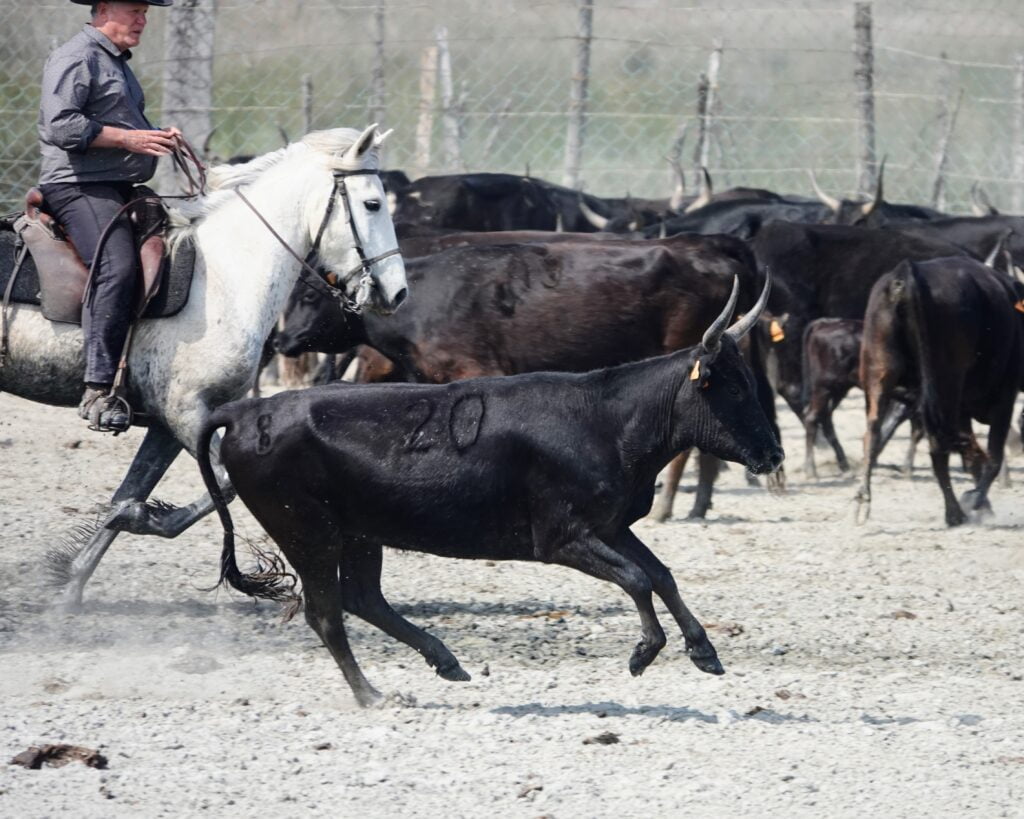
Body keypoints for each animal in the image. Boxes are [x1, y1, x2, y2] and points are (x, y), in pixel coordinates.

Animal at [0, 123, 407, 606]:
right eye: (372, 203)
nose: (398, 293)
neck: (223, 279)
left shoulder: (168, 423)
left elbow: (132, 489)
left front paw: (72, 582)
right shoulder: (186, 412)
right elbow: (225, 481)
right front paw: (142, 519)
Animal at [199, 278, 782, 708]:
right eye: (731, 387)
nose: (773, 455)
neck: (607, 420)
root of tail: (247, 411)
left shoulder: (610, 526)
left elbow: (660, 575)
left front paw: (704, 650)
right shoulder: (562, 537)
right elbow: (638, 578)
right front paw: (644, 651)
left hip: (359, 532)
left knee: (364, 599)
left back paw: (445, 661)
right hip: (307, 530)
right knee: (327, 614)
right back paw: (373, 695)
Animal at [276, 233, 778, 522]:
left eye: (307, 293)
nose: (280, 341)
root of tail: (713, 252)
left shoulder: (477, 372)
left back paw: (671, 506)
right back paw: (697, 505)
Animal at [856, 255, 1024, 524]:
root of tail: (906, 273)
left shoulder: (963, 409)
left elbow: (973, 455)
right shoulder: (1004, 397)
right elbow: (992, 457)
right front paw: (976, 500)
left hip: (879, 370)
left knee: (872, 431)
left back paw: (863, 499)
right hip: (946, 385)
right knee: (938, 446)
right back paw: (954, 512)